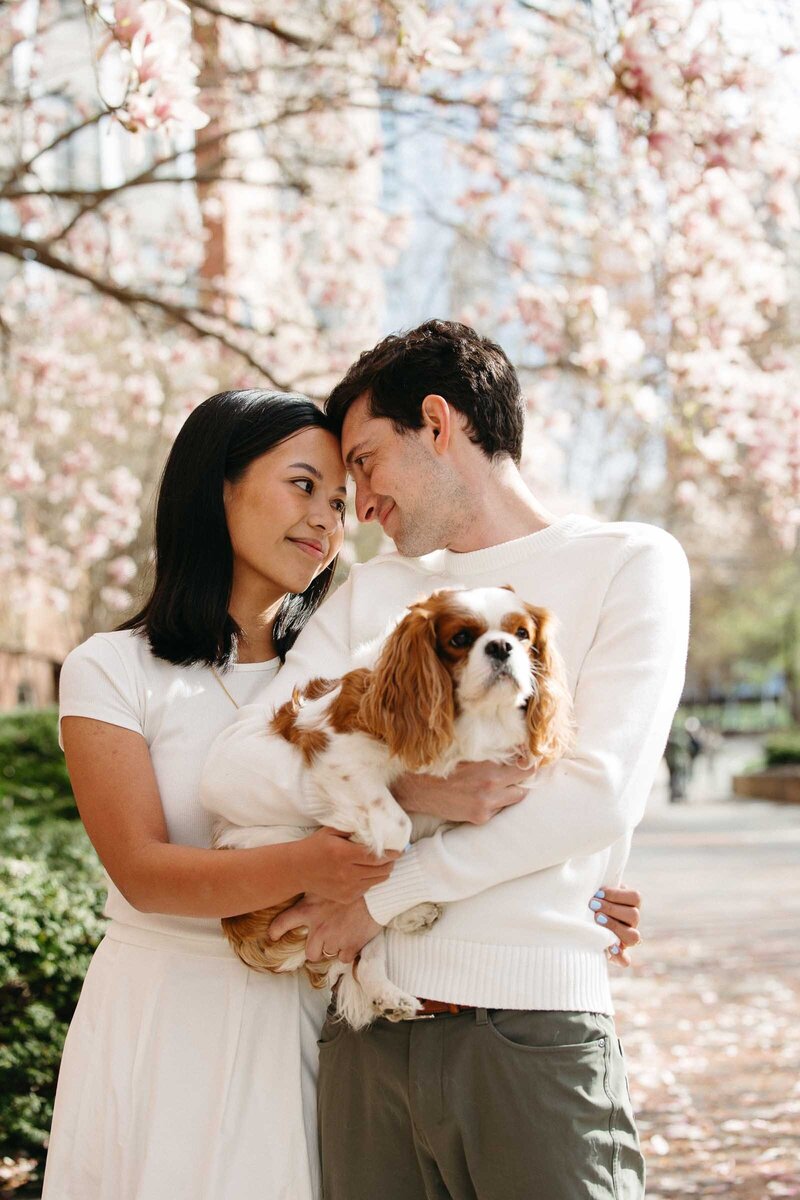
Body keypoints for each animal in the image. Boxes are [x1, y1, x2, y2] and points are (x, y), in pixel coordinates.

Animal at [211, 585, 575, 1027]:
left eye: (523, 634)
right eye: (460, 639)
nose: (502, 646)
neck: (471, 718)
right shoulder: (334, 752)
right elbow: (397, 830)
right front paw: (370, 853)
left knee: (363, 954)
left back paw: (389, 988)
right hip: (271, 845)